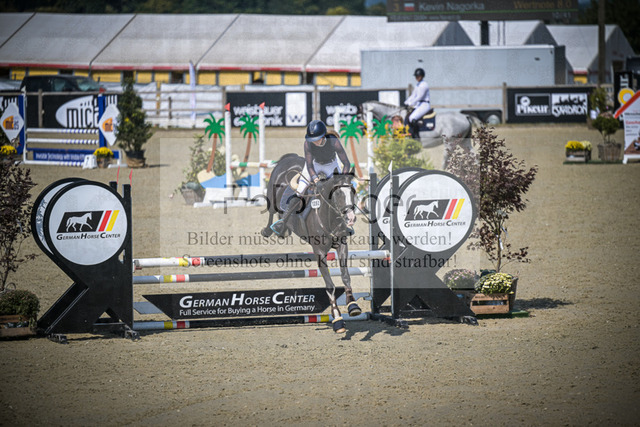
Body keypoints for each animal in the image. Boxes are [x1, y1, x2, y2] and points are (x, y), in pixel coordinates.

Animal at [261, 153, 360, 333]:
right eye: (338, 193)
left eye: (353, 191)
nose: (350, 218)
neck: (328, 216)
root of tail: (290, 158)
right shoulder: (319, 252)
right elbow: (330, 285)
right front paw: (338, 319)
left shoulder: (342, 246)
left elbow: (345, 276)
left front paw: (353, 305)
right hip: (271, 196)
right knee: (272, 212)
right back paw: (272, 229)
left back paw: (283, 230)